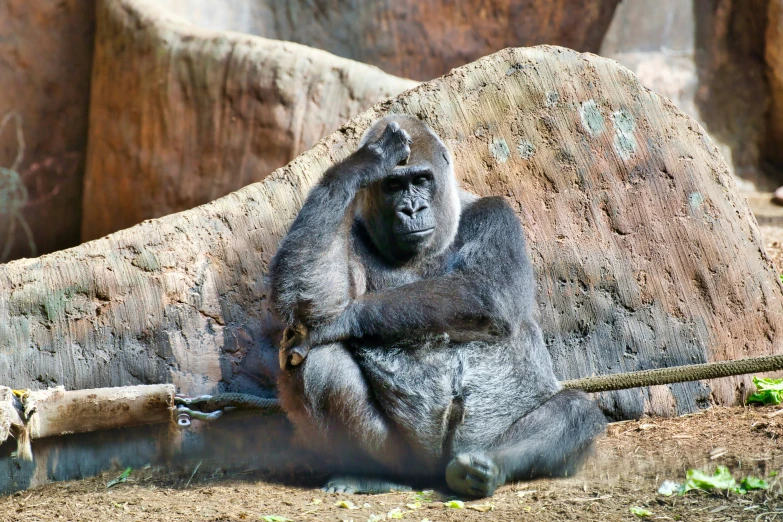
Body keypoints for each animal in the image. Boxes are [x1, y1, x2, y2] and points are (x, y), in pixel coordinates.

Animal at [270, 114, 608, 496]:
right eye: (392, 185)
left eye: (421, 180)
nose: (412, 208)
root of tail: (434, 474)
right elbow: (311, 295)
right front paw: (364, 162)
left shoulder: (497, 212)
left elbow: (487, 292)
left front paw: (342, 320)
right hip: (409, 459)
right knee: (318, 361)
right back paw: (370, 473)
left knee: (576, 411)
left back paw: (485, 467)